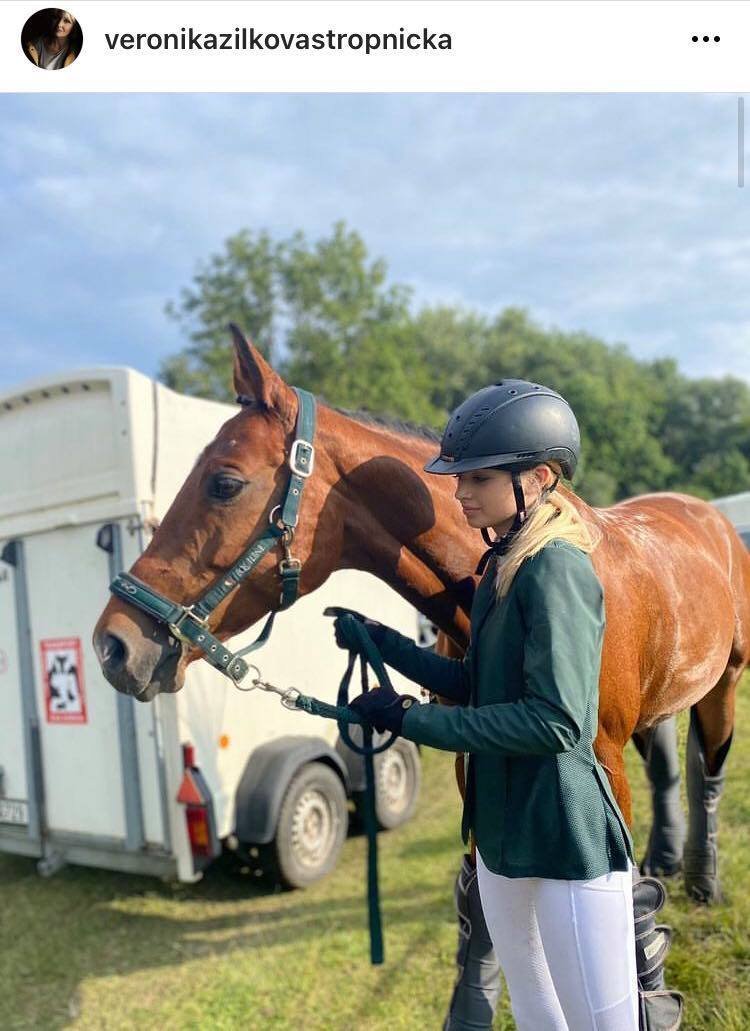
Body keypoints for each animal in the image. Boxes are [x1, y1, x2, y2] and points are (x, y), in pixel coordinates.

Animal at [93, 329, 750, 903]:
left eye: (224, 483)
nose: (113, 645)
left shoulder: (602, 763)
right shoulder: (473, 764)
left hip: (724, 683)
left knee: (707, 772)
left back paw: (703, 880)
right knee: (668, 770)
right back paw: (667, 859)